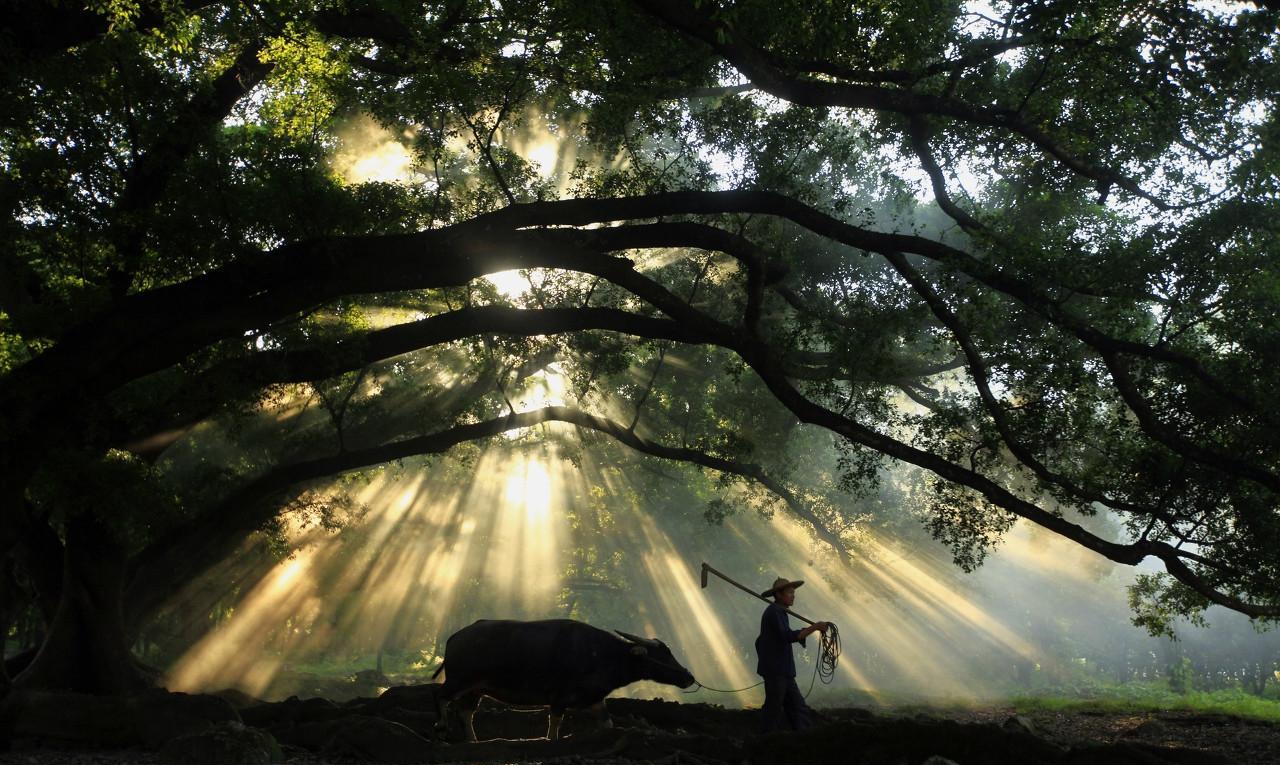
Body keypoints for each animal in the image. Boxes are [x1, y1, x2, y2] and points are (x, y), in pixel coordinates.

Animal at [432, 621, 696, 741]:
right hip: (459, 681)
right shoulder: (558, 698)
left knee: (466, 712)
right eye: (663, 655)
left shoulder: (594, 699)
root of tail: (455, 637)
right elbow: (554, 727)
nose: (689, 676)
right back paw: (442, 727)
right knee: (440, 696)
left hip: (475, 690)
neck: (601, 654)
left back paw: (473, 740)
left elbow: (607, 724)